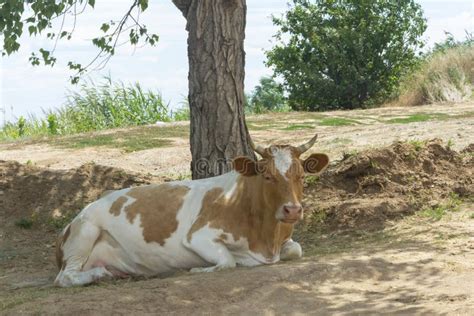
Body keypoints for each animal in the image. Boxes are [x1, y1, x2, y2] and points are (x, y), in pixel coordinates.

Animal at [53, 135, 328, 288]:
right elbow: (228, 261)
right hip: (85, 231)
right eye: (268, 176)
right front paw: (198, 269)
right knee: (65, 277)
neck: (266, 237)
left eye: (301, 176)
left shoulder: (285, 240)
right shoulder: (198, 235)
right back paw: (100, 274)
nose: (292, 210)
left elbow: (296, 249)